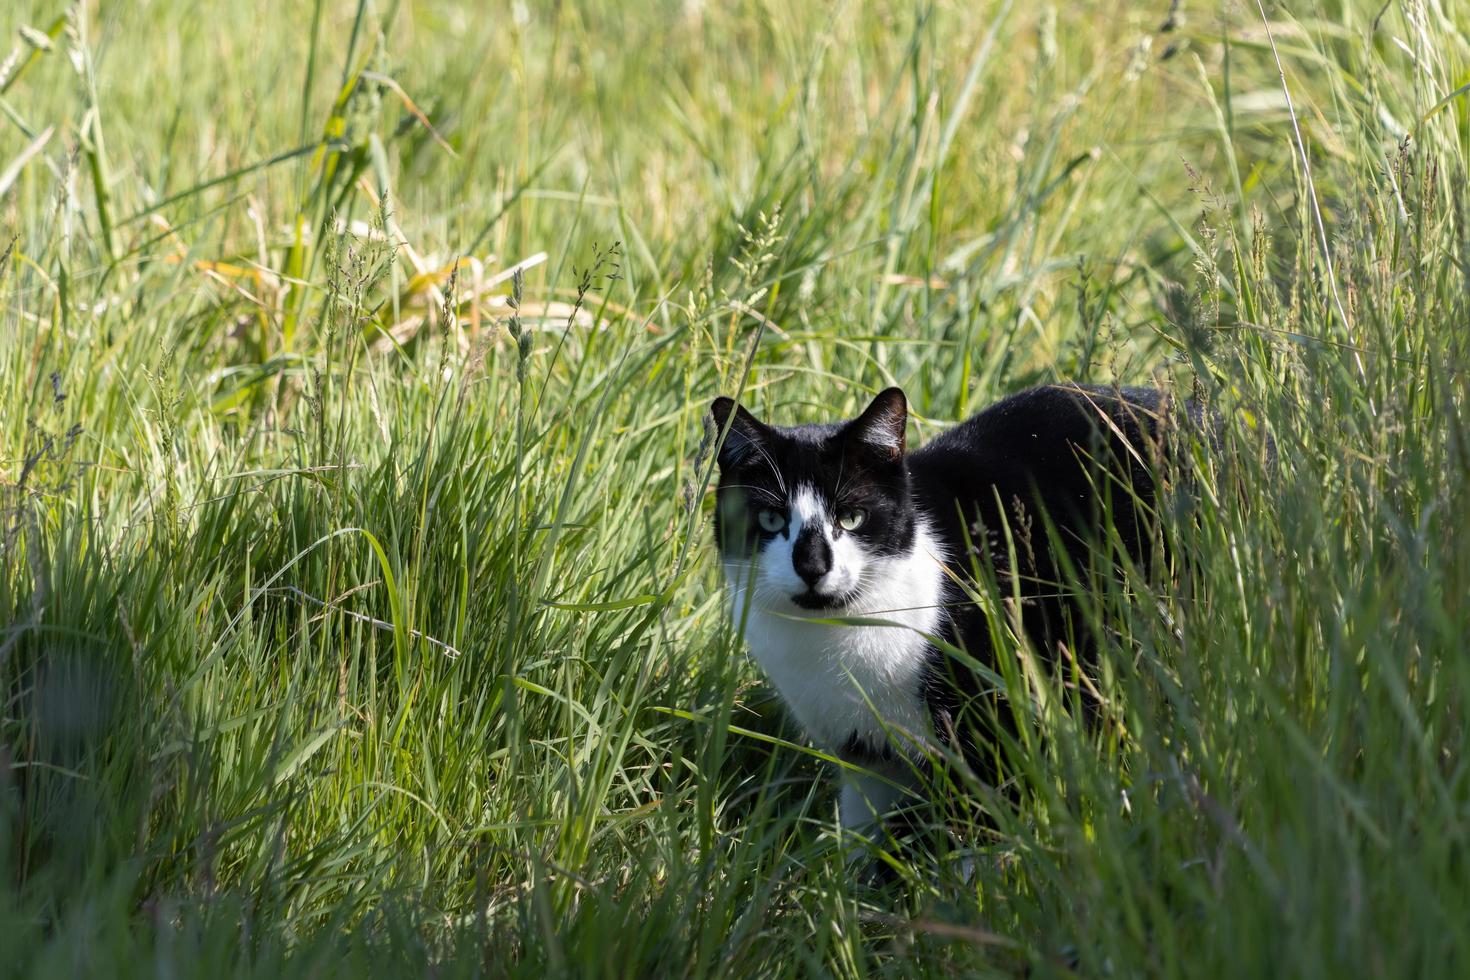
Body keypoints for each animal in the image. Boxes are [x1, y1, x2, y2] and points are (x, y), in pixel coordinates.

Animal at [705, 382, 1187, 846]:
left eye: (852, 517)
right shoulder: (867, 758)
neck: (832, 641)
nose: (812, 566)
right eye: (770, 520)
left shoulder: (990, 733)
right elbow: (865, 838)